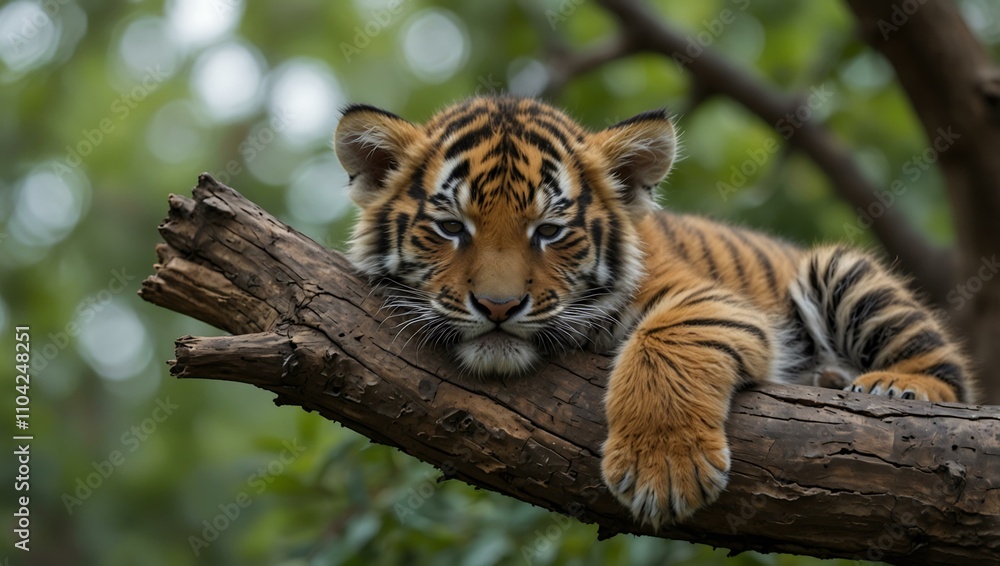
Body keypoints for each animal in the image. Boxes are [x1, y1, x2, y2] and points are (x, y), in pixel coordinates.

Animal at [333, 95, 972, 528]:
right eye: (450, 228)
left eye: (549, 232)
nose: (498, 306)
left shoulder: (711, 300)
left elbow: (667, 339)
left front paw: (661, 471)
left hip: (839, 270)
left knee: (953, 377)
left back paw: (894, 385)